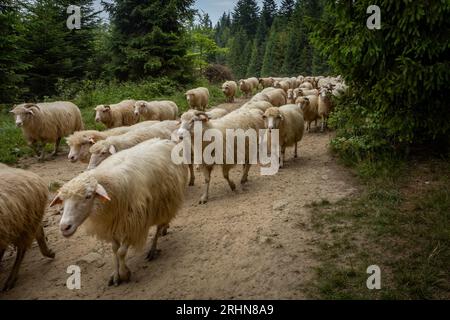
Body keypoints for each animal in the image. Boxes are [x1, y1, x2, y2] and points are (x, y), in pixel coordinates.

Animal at [49, 139, 188, 286]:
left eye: (88, 196)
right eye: (62, 200)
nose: (64, 227)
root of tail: (165, 140)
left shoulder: (133, 223)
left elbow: (121, 252)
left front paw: (124, 274)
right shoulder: (111, 224)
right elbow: (115, 250)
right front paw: (116, 275)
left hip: (165, 203)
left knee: (159, 226)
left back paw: (153, 248)